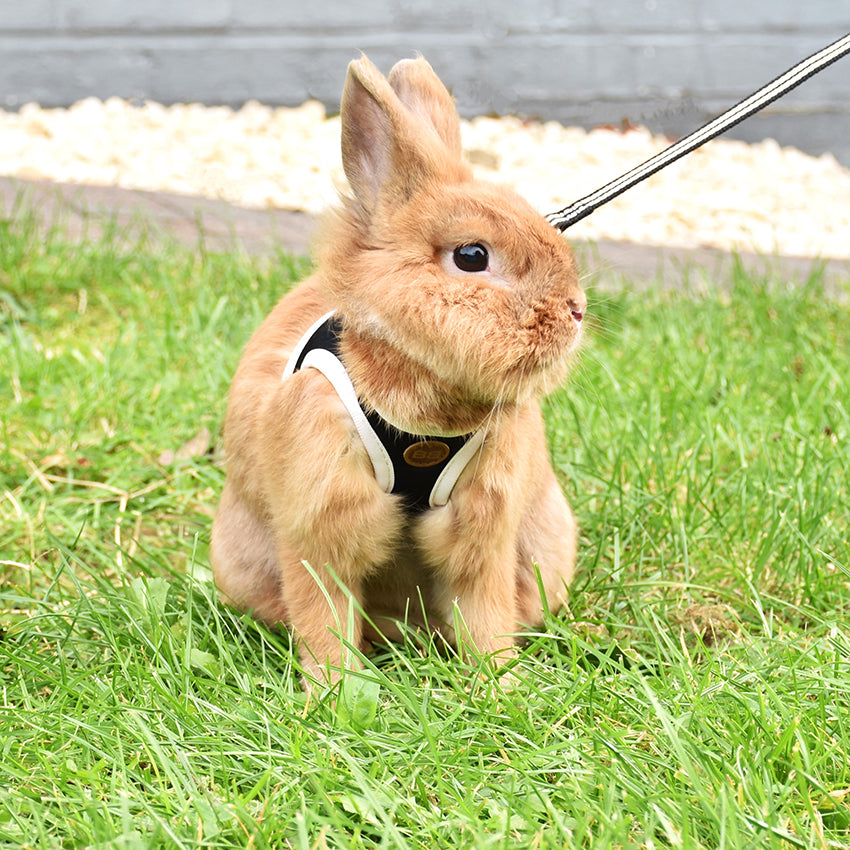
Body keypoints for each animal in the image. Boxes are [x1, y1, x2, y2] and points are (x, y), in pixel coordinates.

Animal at [210, 55, 586, 688]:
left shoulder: (484, 524)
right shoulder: (320, 517)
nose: (576, 311)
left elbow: (485, 609)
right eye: (471, 256)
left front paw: (498, 683)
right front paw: (332, 690)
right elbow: (322, 613)